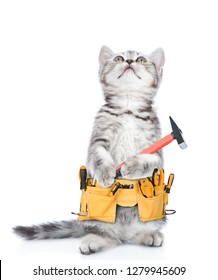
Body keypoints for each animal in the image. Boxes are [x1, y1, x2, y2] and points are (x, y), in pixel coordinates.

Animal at [13, 45, 166, 254]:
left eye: (141, 59)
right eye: (118, 58)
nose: (129, 61)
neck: (128, 107)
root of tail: (123, 233)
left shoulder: (155, 147)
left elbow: (149, 160)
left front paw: (131, 166)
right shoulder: (98, 139)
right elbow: (99, 156)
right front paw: (106, 172)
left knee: (136, 234)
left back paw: (148, 235)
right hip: (94, 217)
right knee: (105, 234)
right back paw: (94, 240)